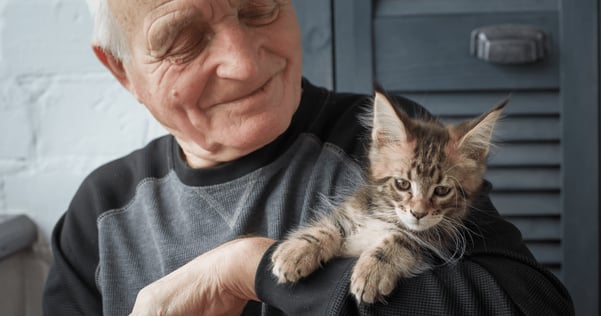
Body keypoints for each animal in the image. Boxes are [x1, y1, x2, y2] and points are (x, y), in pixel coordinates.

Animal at [272, 91, 506, 304]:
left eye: (441, 191)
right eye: (403, 184)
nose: (418, 213)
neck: (387, 216)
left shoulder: (436, 244)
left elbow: (403, 238)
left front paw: (374, 269)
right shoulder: (355, 206)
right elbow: (331, 225)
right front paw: (298, 250)